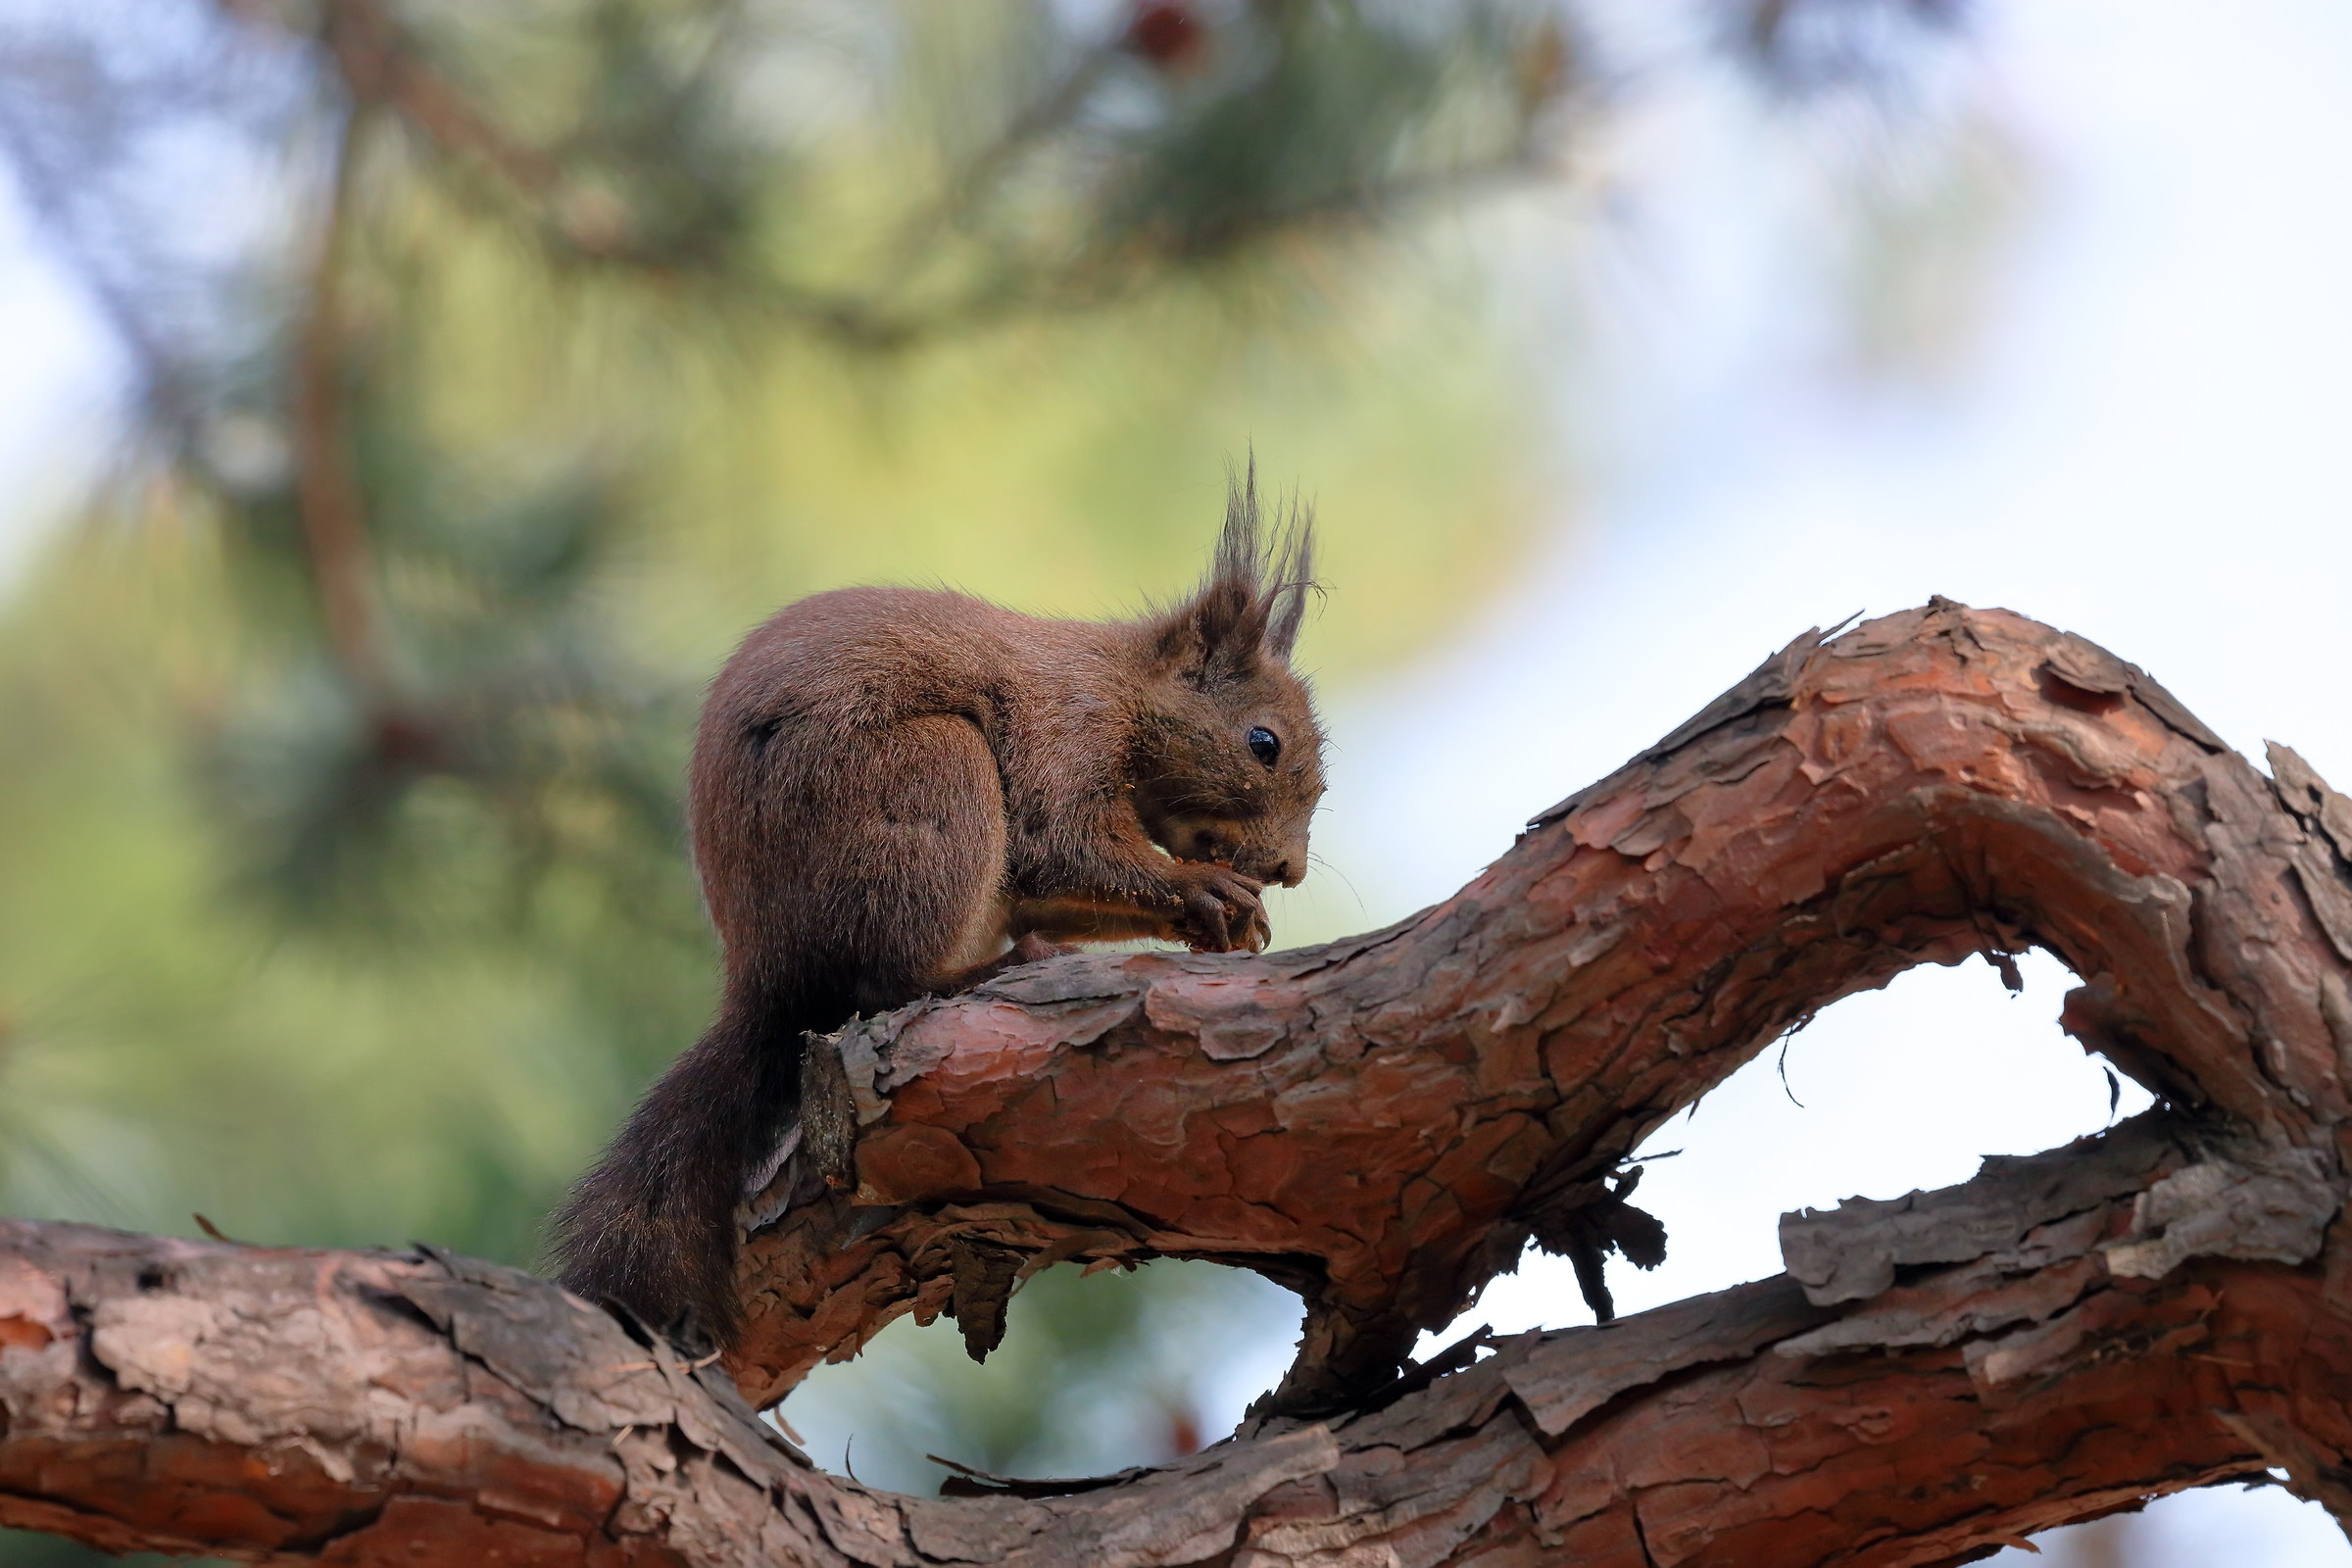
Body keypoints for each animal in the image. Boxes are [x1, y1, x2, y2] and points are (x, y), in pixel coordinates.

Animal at [552, 472, 1324, 1346]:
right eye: (1262, 743)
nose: (1288, 870)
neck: (1124, 689)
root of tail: (770, 971)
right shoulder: (1066, 734)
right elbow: (1065, 846)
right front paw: (1204, 889)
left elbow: (1058, 890)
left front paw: (1236, 921)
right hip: (930, 785)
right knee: (881, 984)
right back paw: (983, 974)